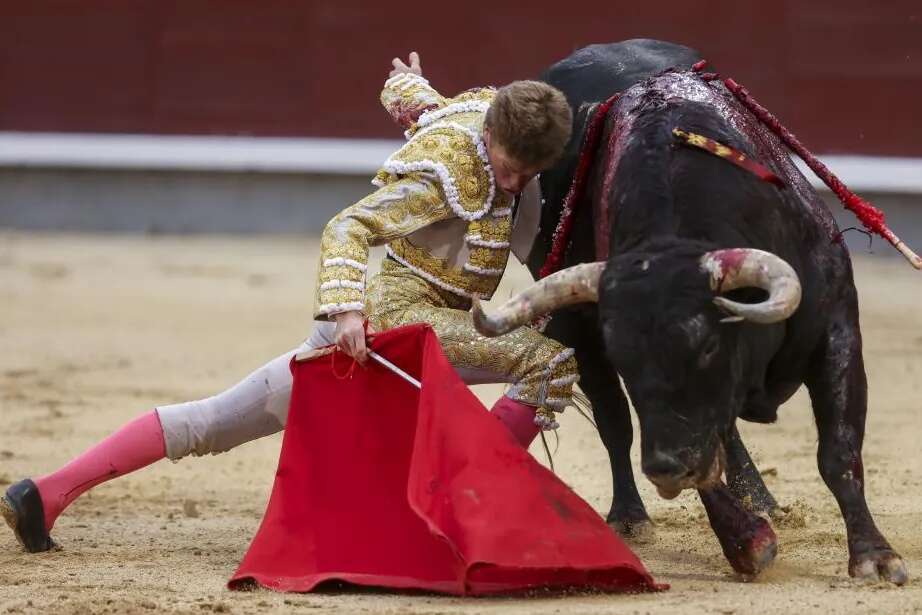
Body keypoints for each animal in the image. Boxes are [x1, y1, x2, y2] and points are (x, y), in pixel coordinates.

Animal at [474, 41, 904, 584]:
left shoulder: (836, 327)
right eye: (626, 357)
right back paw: (633, 517)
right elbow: (691, 447)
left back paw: (763, 502)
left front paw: (875, 556)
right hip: (577, 328)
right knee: (618, 424)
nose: (663, 469)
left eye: (707, 345)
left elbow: (839, 451)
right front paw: (748, 545)